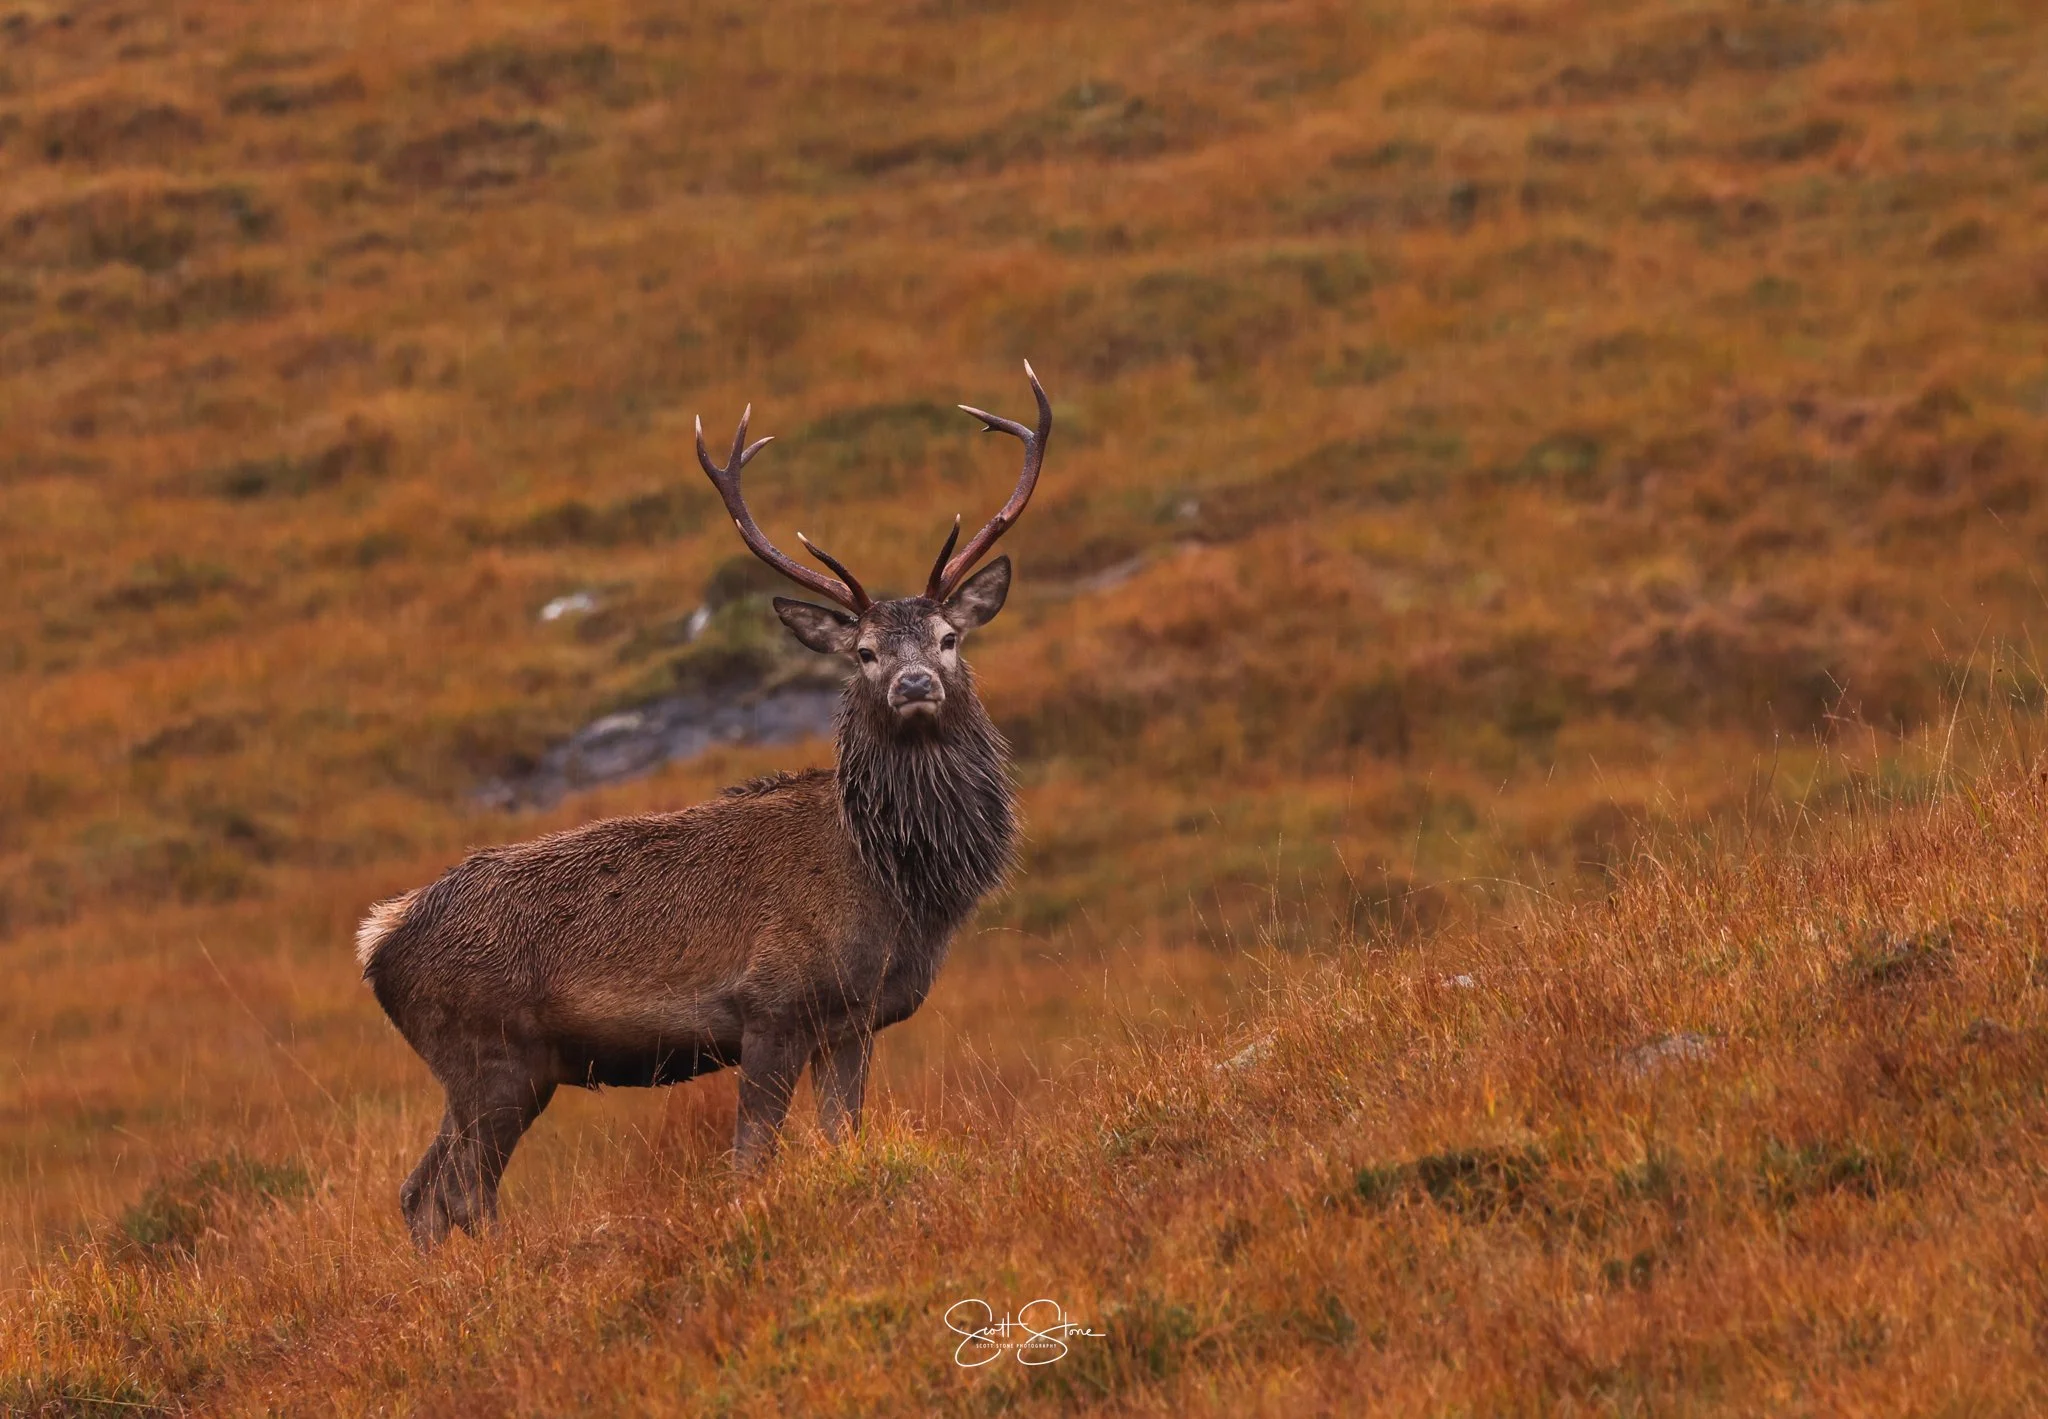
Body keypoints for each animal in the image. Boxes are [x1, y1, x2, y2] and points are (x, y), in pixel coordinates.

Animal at [357, 365, 1050, 1248]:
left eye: (949, 638)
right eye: (863, 652)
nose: (914, 683)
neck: (894, 881)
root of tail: (378, 941)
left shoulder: (853, 1020)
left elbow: (844, 1139)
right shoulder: (772, 1006)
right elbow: (749, 1159)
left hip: (504, 1068)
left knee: (423, 1187)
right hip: (489, 1054)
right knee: (457, 1189)